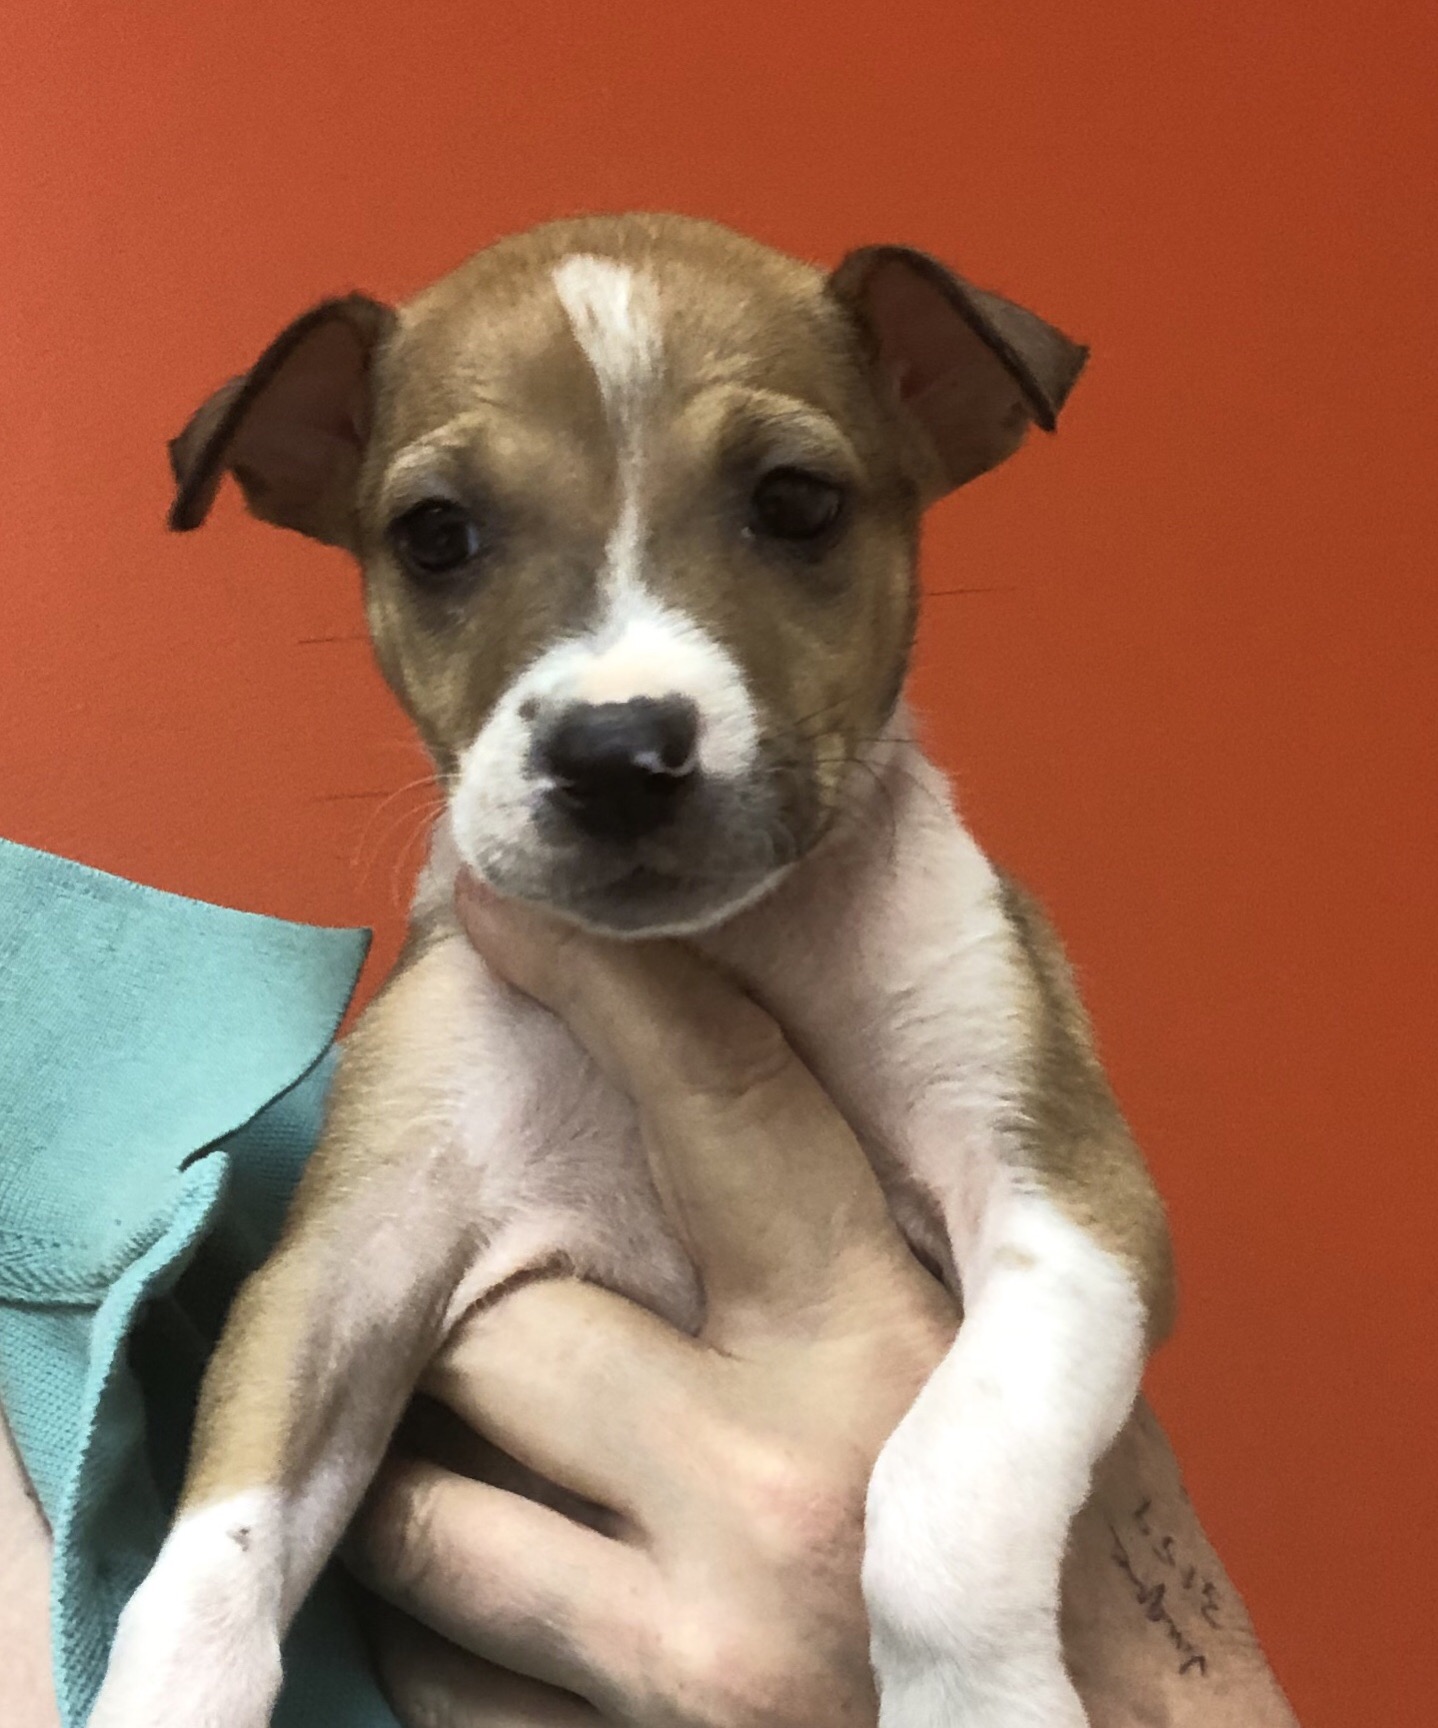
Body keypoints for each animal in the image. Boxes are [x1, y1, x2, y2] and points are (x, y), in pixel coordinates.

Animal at [88, 213, 1173, 1728]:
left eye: (795, 503)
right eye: (435, 535)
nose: (614, 755)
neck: (716, 954)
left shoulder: (1063, 1205)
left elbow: (942, 1488)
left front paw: (979, 1701)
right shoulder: (342, 1274)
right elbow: (211, 1562)